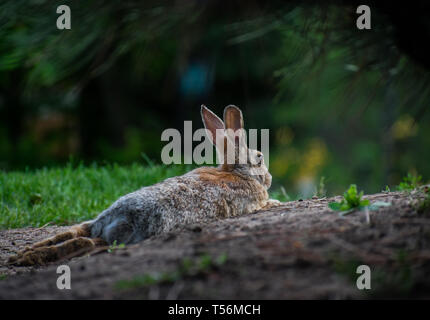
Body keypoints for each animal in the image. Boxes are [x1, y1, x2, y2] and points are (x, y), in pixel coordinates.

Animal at [9, 104, 282, 264]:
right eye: (259, 157)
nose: (269, 178)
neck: (238, 172)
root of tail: (112, 220)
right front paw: (277, 201)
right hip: (120, 237)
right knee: (84, 244)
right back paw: (28, 258)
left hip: (91, 224)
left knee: (70, 233)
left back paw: (22, 255)